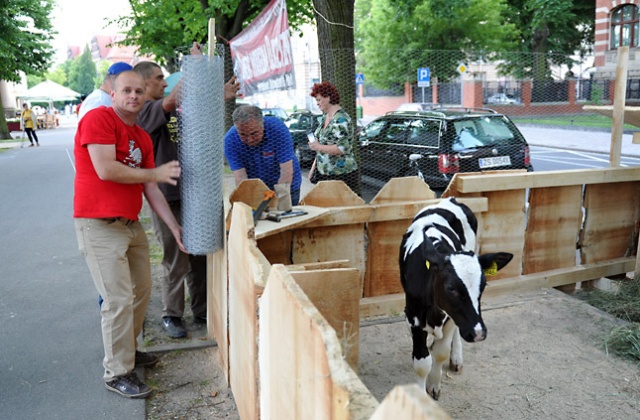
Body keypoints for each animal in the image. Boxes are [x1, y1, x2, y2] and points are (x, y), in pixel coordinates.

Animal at [398, 198, 512, 400]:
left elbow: (441, 353)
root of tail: (449, 199)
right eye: (450, 288)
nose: (478, 332)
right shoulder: (413, 316)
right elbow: (422, 363)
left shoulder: (451, 317)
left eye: (483, 285)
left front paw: (434, 384)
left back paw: (456, 357)